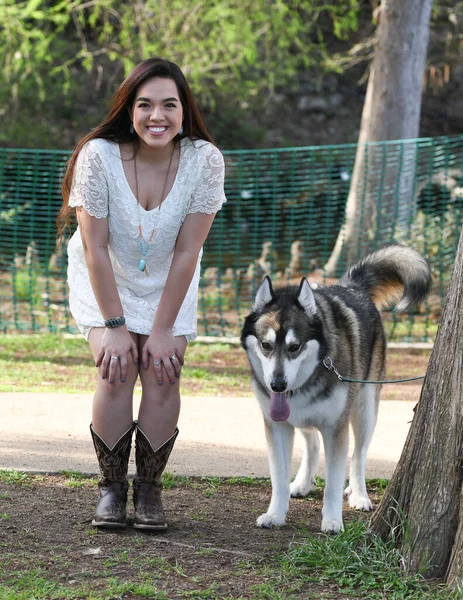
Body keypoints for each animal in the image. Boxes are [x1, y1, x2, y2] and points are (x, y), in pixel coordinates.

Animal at [241, 245, 434, 536]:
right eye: (266, 345)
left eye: (295, 347)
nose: (278, 385)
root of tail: (352, 286)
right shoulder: (277, 426)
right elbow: (278, 479)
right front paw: (275, 513)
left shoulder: (336, 428)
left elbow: (333, 482)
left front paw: (332, 520)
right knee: (311, 444)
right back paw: (302, 482)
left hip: (365, 410)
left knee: (359, 455)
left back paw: (359, 495)